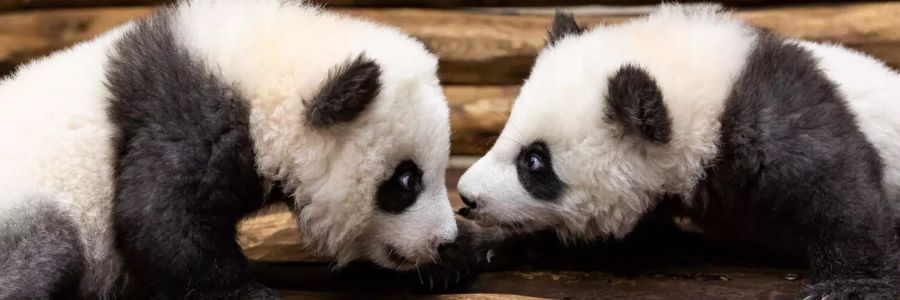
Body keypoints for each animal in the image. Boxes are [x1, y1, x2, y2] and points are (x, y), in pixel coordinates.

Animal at [0, 0, 460, 298]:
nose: (442, 242)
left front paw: (457, 258)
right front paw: (251, 293)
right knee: (45, 253)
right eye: (406, 181)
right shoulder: (184, 121)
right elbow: (159, 223)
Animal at [454, 5, 900, 298]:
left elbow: (838, 184)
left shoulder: (772, 112)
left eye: (534, 162)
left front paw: (850, 286)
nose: (467, 196)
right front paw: (467, 246)